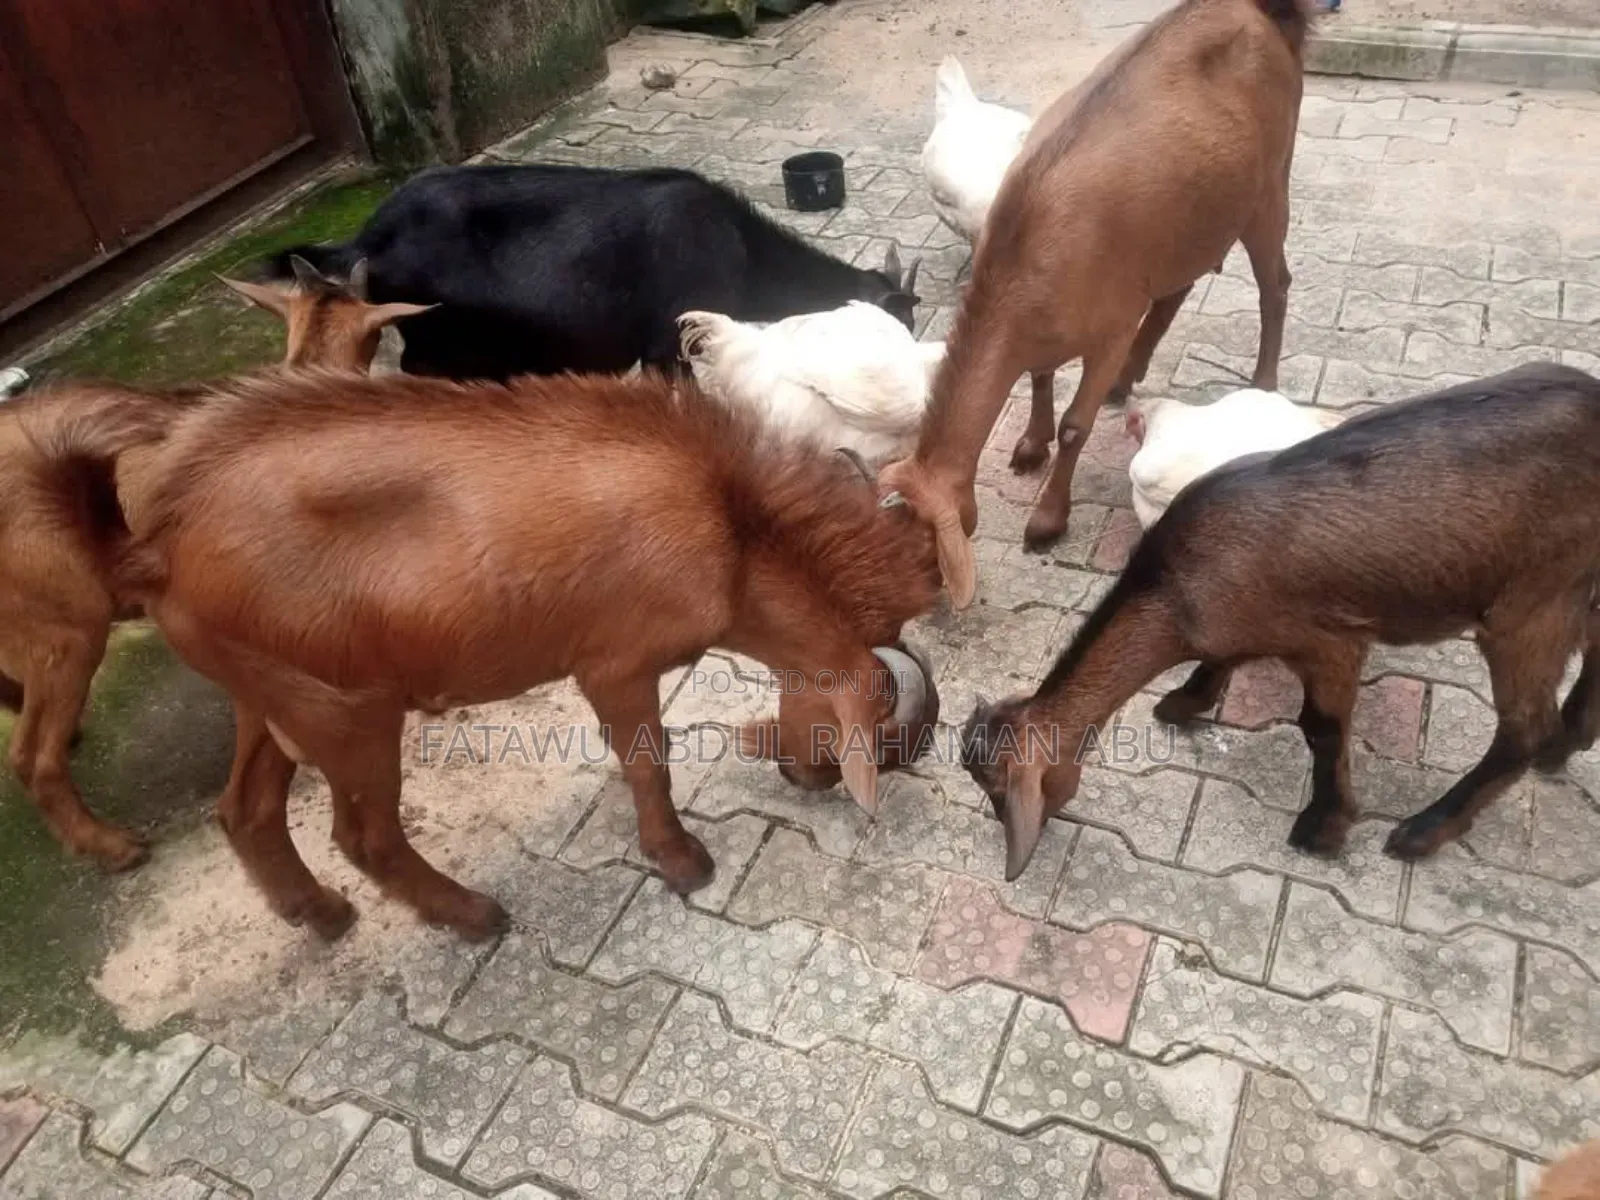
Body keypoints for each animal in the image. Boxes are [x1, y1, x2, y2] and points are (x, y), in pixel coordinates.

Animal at [32, 369, 944, 940]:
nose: (806, 777)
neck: (730, 523)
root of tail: (155, 545)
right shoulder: (617, 664)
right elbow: (648, 762)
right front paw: (681, 861)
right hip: (349, 712)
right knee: (364, 837)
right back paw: (470, 917)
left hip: (270, 692)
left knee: (247, 811)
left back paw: (320, 915)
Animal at [877, 0, 1312, 609]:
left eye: (925, 546)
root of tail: (1263, 13)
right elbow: (1039, 377)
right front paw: (1029, 445)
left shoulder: (1111, 326)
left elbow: (1075, 426)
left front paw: (1047, 520)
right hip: (1190, 217)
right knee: (1177, 287)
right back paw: (1130, 377)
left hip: (1269, 188)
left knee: (1275, 285)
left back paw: (1262, 379)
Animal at [957, 363, 1600, 881]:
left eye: (997, 788)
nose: (1014, 839)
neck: (1177, 589)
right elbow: (1224, 657)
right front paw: (1185, 700)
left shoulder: (1332, 640)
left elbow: (1321, 726)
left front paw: (1324, 826)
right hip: (1579, 584)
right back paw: (1568, 741)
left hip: (1530, 602)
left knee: (1523, 726)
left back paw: (1423, 831)